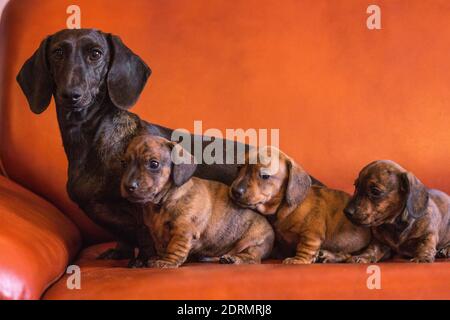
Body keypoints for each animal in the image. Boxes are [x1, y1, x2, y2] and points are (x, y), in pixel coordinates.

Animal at [119, 134, 274, 268]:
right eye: (124, 163)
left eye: (154, 164)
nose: (128, 186)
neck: (163, 202)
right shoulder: (155, 233)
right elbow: (160, 246)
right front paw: (156, 258)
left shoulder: (183, 231)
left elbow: (174, 248)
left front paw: (167, 262)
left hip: (253, 244)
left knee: (252, 258)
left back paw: (234, 259)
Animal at [230, 146, 370, 264]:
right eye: (239, 168)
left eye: (264, 175)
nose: (235, 191)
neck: (283, 208)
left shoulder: (311, 233)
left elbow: (305, 247)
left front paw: (298, 260)